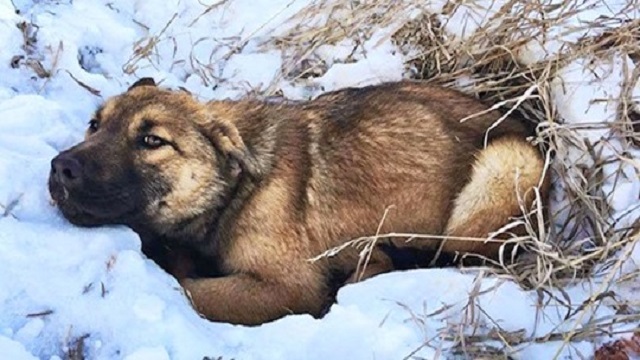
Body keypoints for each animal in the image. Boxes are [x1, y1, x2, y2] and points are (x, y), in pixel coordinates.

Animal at [48, 79, 552, 326]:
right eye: (95, 125)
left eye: (152, 140)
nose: (59, 168)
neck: (236, 190)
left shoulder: (288, 286)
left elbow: (188, 289)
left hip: (506, 165)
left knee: (457, 256)